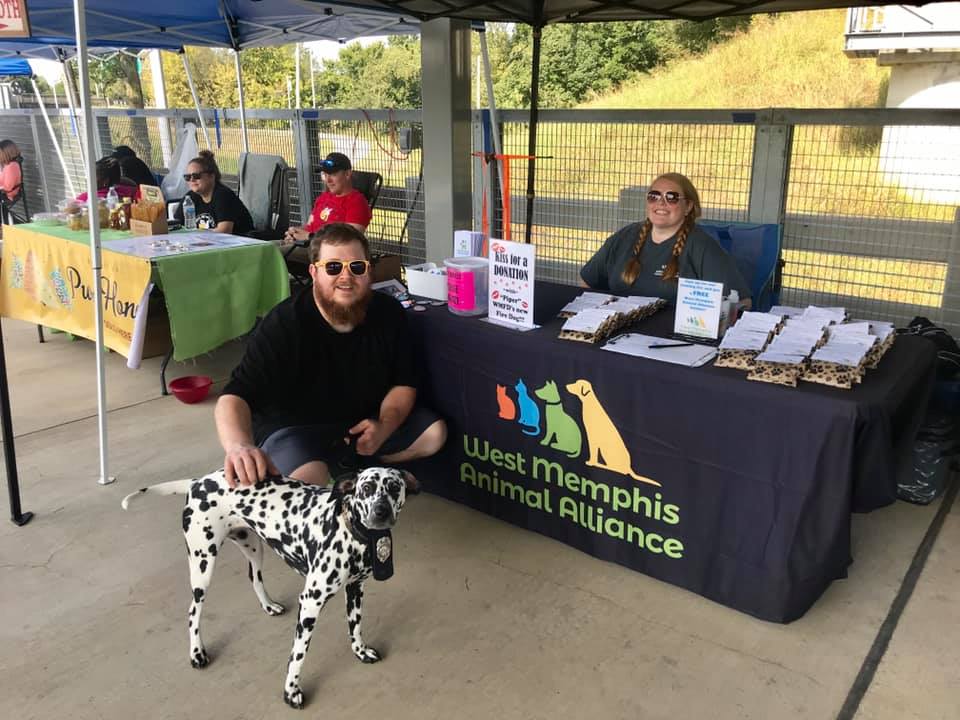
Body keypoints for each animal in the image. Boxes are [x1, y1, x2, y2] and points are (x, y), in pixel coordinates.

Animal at [122, 466, 419, 709]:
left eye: (394, 487)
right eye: (366, 488)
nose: (381, 512)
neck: (350, 533)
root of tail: (199, 482)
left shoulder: (355, 590)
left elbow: (355, 627)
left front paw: (360, 651)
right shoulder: (309, 604)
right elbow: (298, 655)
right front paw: (291, 691)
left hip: (252, 547)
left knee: (253, 577)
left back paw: (268, 605)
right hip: (202, 565)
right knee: (193, 612)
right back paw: (197, 653)